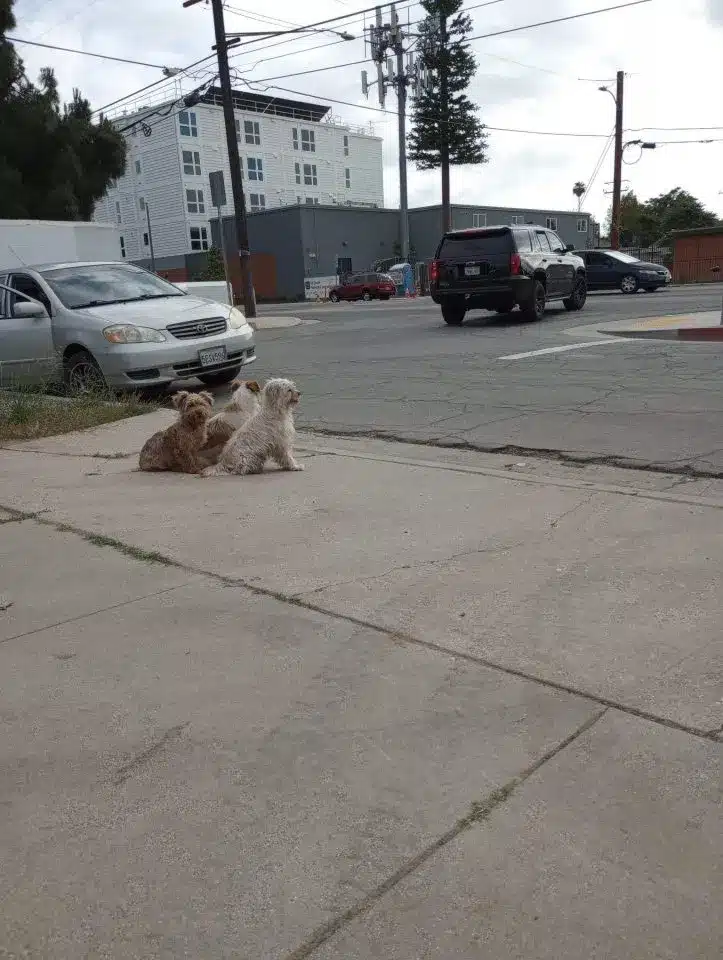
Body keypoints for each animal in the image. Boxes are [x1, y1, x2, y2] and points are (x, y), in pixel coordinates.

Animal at [139, 376, 302, 478]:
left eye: (293, 387)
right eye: (289, 390)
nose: (299, 392)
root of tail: (223, 463)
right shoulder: (280, 442)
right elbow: (287, 456)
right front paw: (295, 466)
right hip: (249, 457)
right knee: (240, 469)